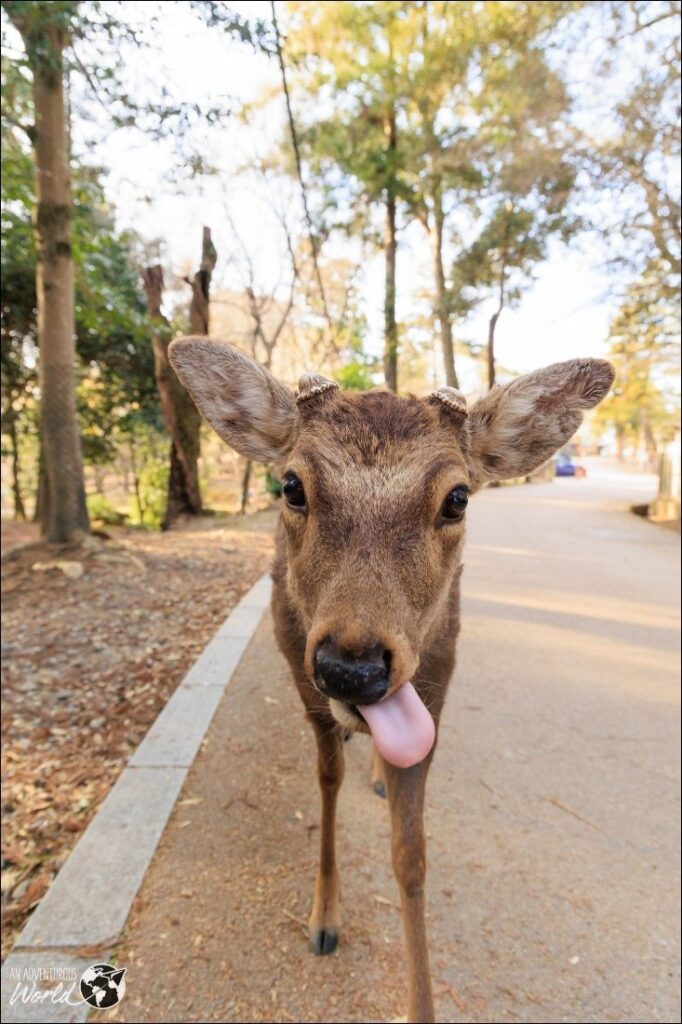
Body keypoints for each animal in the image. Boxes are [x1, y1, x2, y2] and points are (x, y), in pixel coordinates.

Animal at [166, 337, 614, 1024]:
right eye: (292, 485)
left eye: (458, 497)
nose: (352, 668)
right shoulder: (299, 673)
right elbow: (326, 784)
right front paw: (325, 920)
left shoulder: (437, 683)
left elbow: (412, 855)